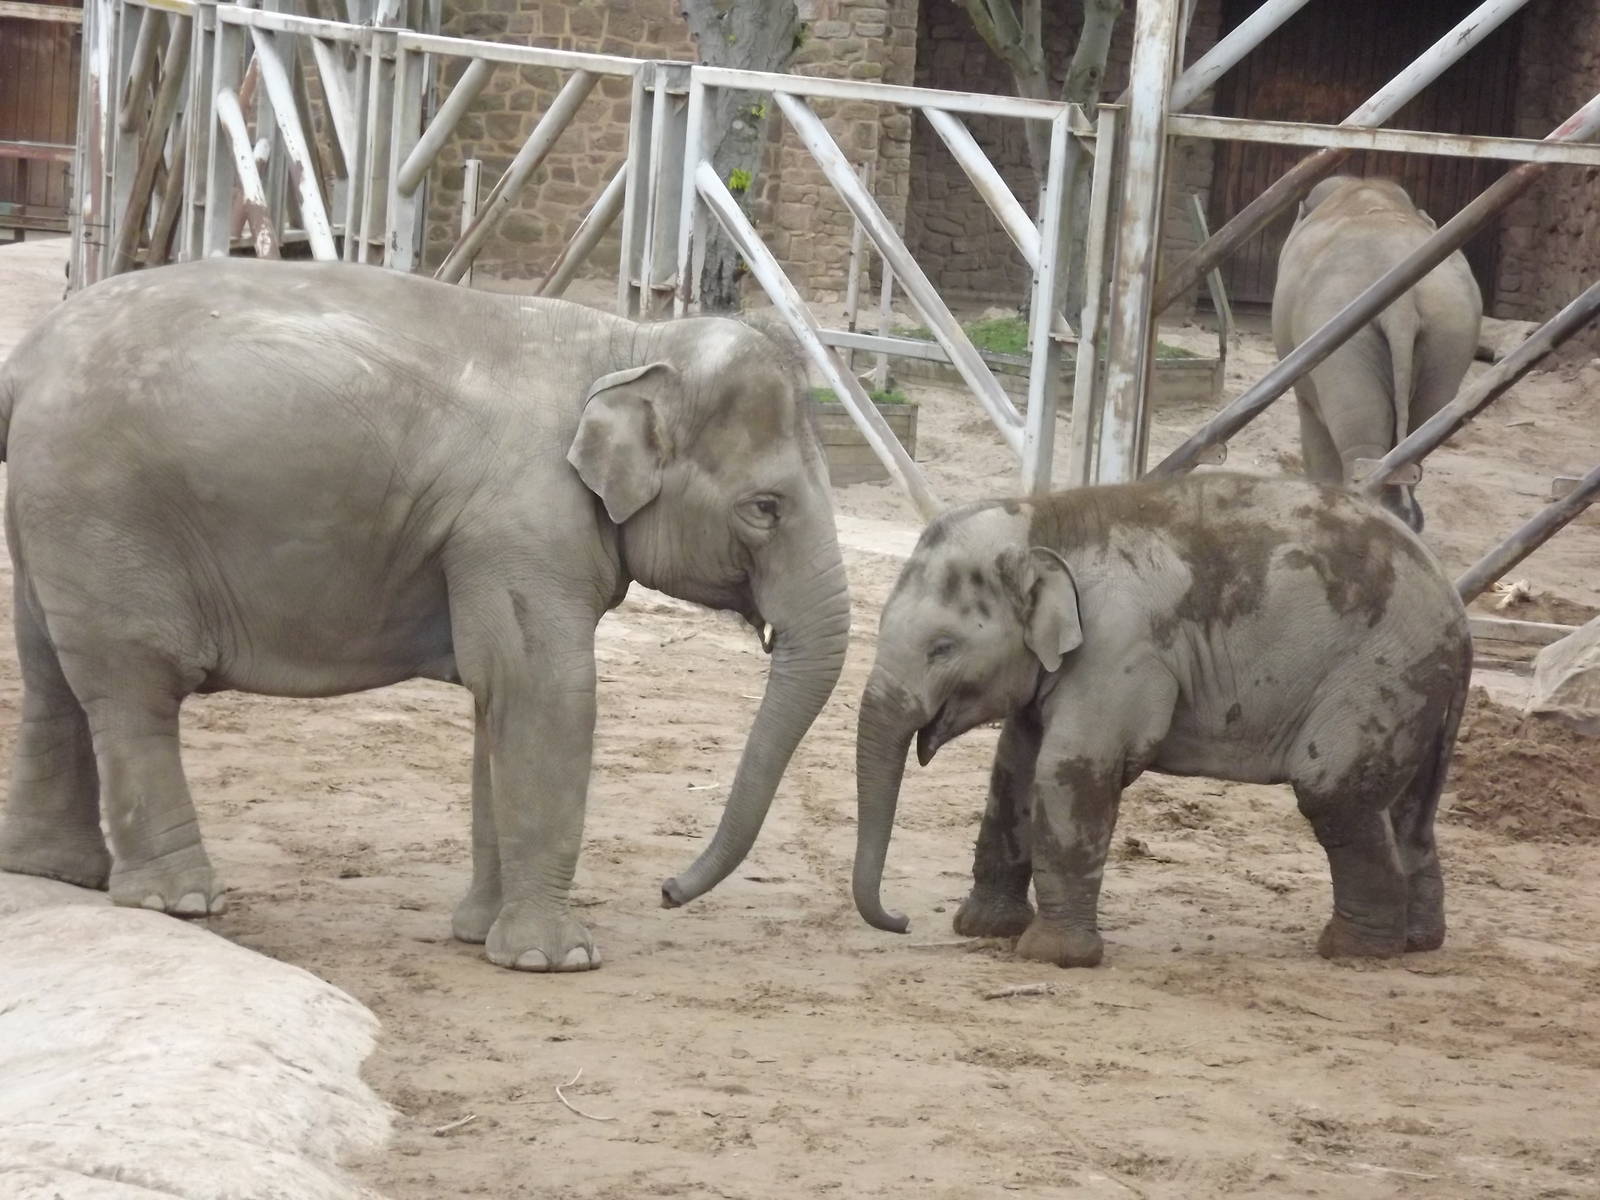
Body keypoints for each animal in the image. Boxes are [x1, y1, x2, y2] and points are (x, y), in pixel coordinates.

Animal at [0, 258, 850, 973]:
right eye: (765, 509)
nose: (668, 891)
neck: (630, 341)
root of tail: (25, 359)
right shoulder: (520, 525)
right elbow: (546, 693)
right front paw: (554, 960)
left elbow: (498, 700)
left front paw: (479, 935)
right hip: (104, 516)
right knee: (133, 689)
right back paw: (178, 900)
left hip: (48, 516)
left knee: (50, 677)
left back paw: (57, 871)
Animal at [852, 472, 1471, 968]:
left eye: (942, 648)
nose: (902, 920)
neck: (1047, 519)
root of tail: (1457, 610)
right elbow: (1014, 767)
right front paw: (984, 929)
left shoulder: (1121, 648)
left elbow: (1070, 769)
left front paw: (1054, 958)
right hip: (1415, 692)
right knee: (1405, 811)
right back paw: (1418, 942)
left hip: (1377, 676)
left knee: (1336, 793)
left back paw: (1355, 950)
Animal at [1272, 175, 1482, 532]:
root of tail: (1401, 304)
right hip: (1450, 330)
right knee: (1421, 428)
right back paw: (1402, 517)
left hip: (1341, 338)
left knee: (1360, 434)